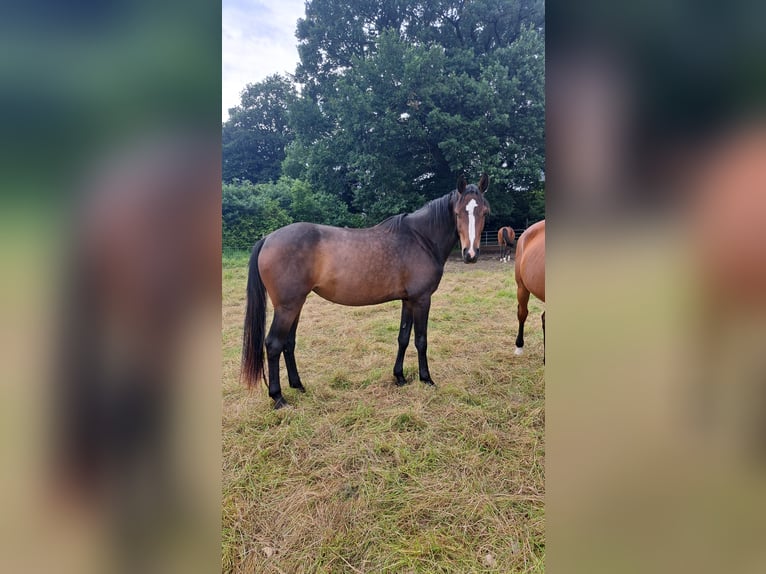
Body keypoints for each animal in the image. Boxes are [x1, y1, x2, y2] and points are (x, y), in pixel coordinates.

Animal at [243, 174, 492, 410]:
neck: (421, 239)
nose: (470, 254)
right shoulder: (422, 300)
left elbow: (403, 338)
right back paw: (278, 398)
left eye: (484, 212)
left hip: (296, 304)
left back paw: (298, 386)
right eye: (458, 212)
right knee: (274, 344)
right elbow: (421, 340)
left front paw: (400, 377)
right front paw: (426, 379)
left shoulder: (408, 300)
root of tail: (268, 239)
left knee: (288, 343)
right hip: (287, 307)